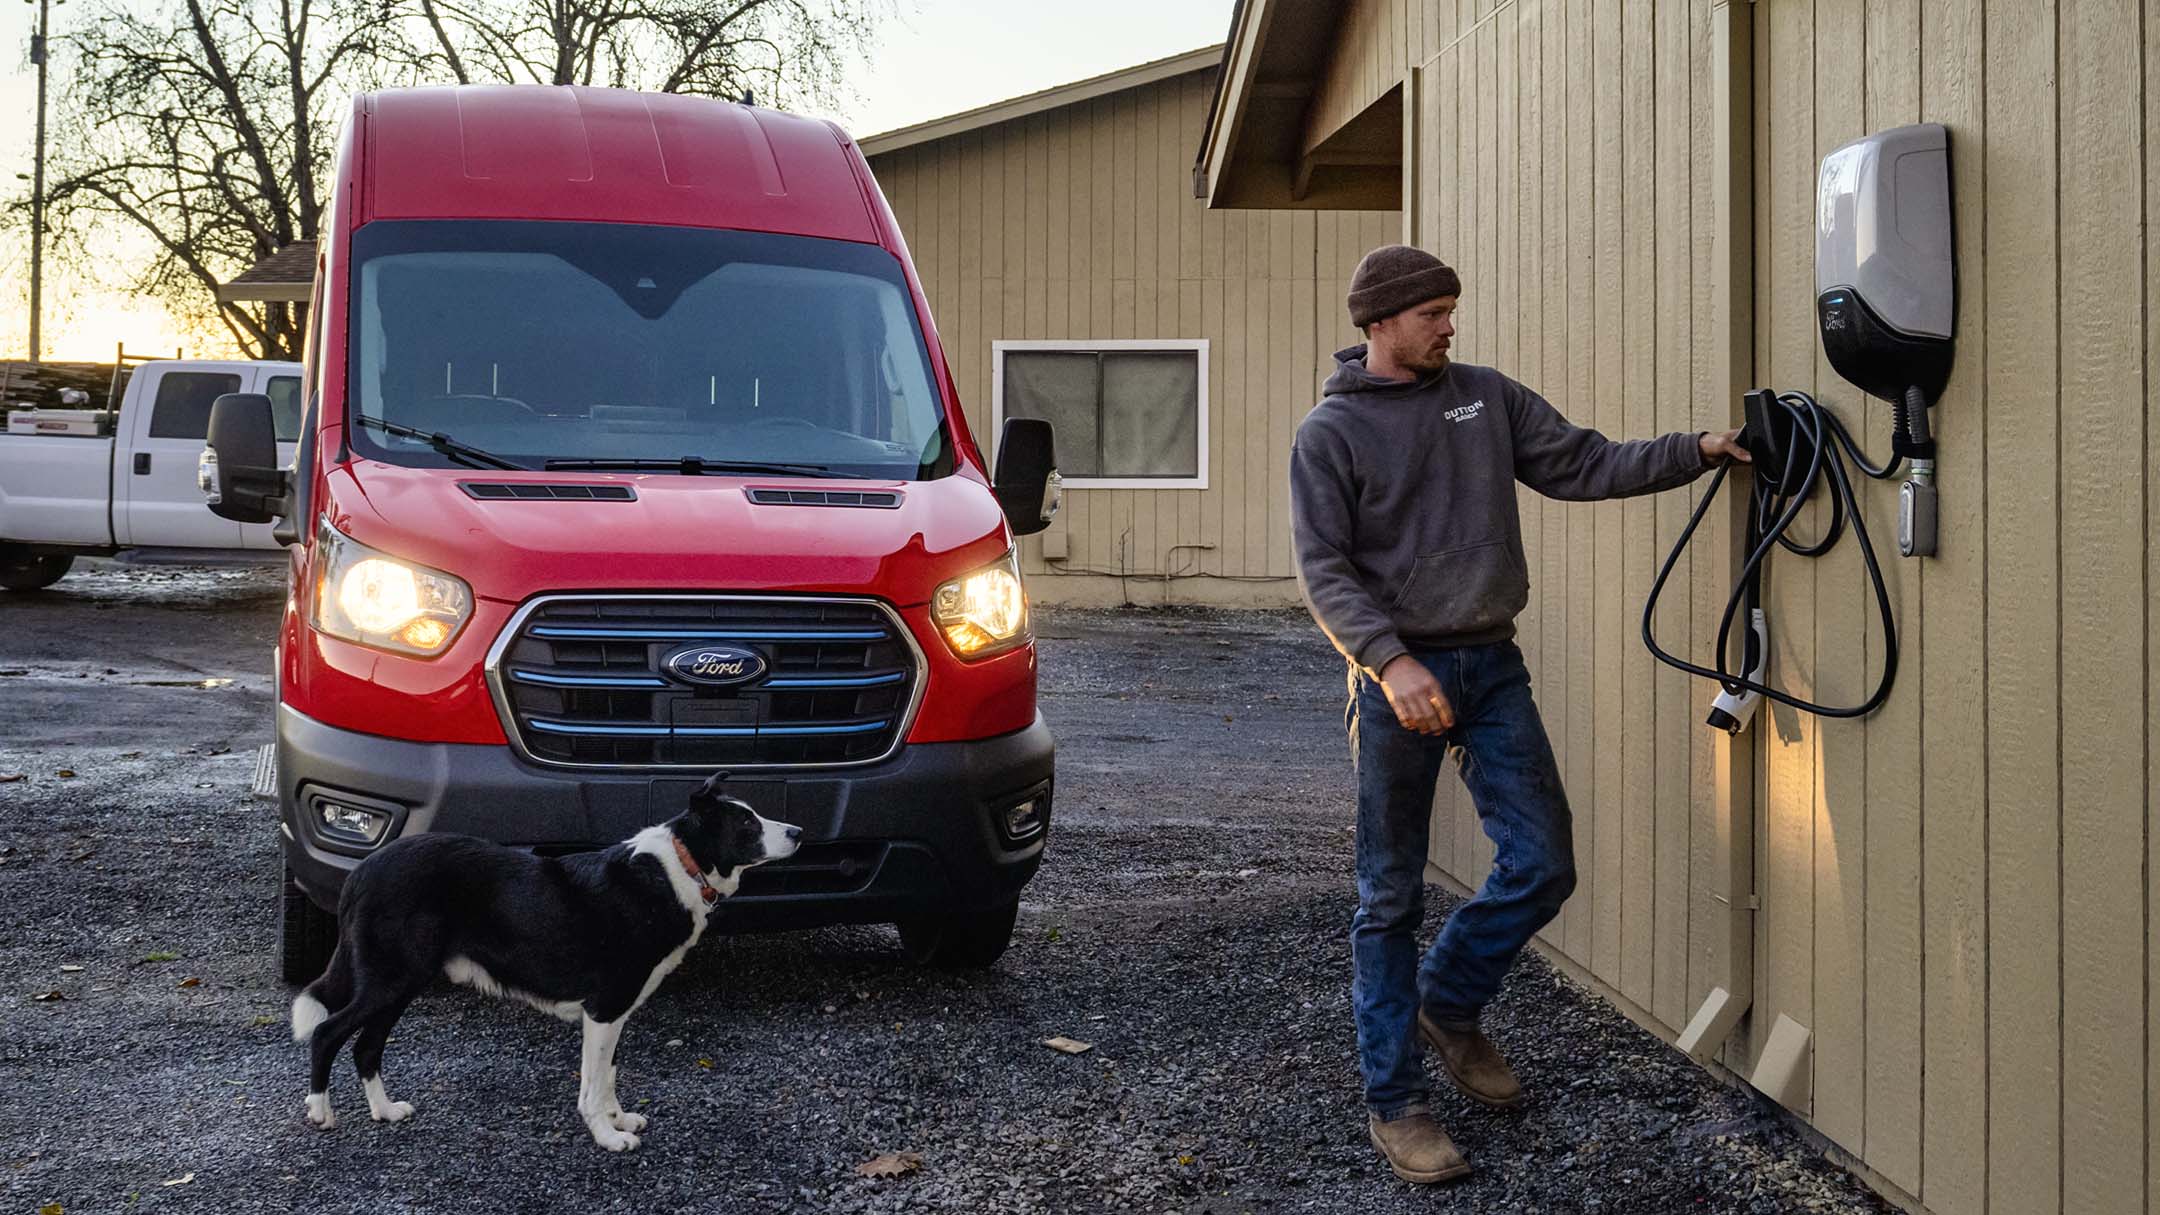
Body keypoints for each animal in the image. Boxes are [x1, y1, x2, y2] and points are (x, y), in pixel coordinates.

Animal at [293, 769, 803, 1150]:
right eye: (747, 824)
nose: (798, 832)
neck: (678, 867)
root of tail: (363, 870)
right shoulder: (605, 1008)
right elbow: (593, 1083)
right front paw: (607, 1136)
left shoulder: (616, 1013)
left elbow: (609, 1073)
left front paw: (619, 1119)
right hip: (390, 978)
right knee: (327, 1031)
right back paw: (320, 1111)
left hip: (402, 981)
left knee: (366, 1046)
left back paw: (384, 1111)